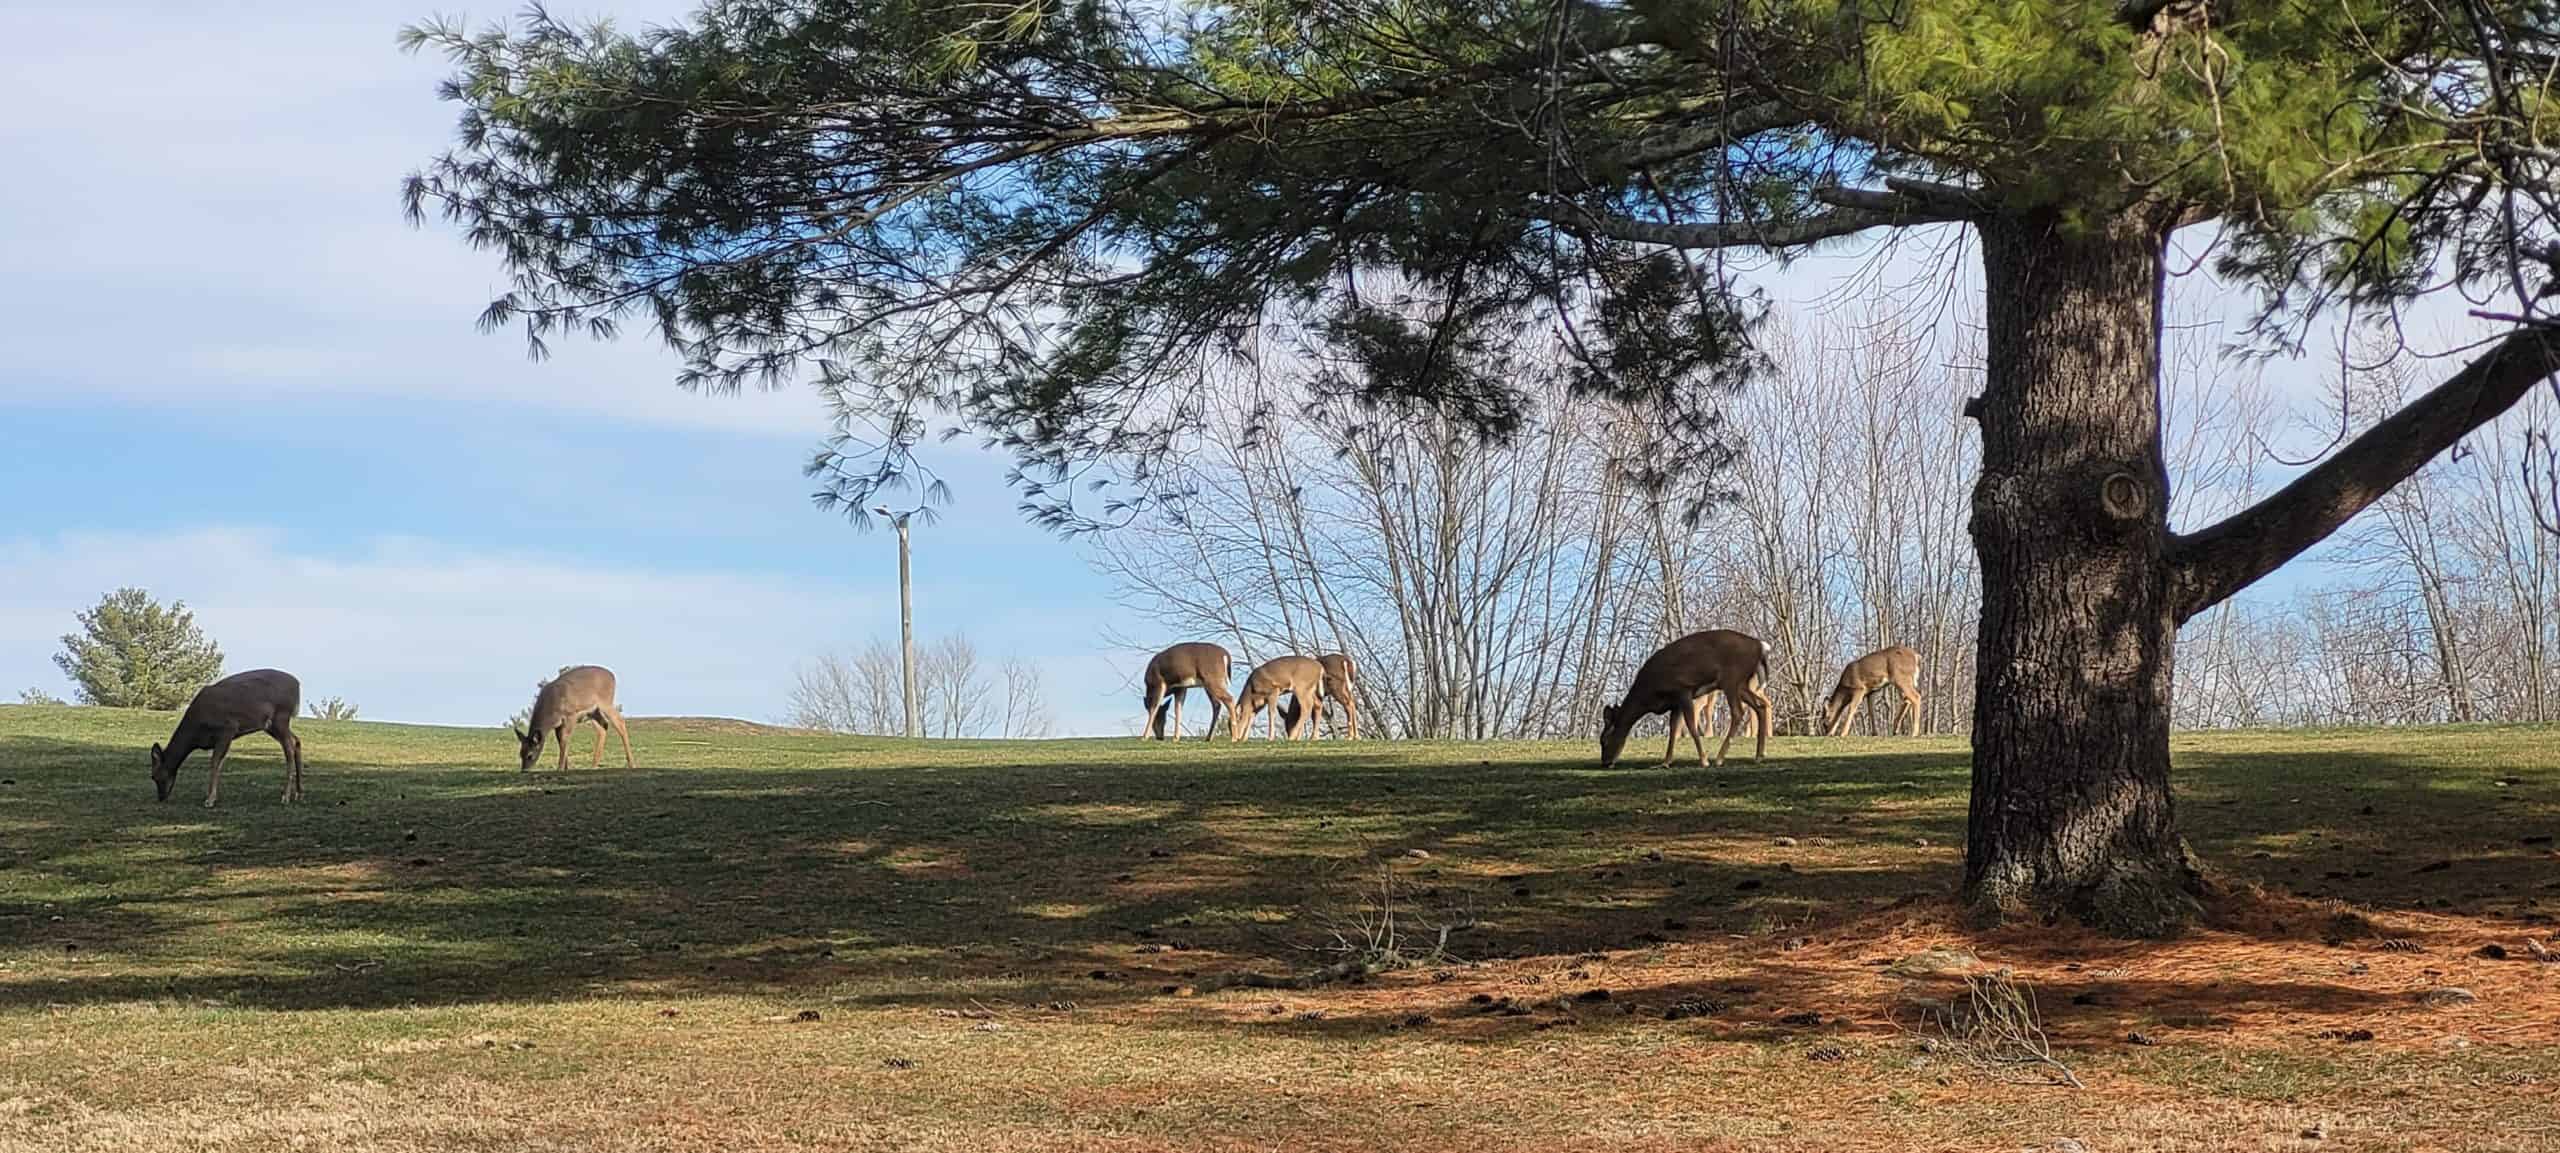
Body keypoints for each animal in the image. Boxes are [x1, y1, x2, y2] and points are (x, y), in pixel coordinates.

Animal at [149, 669, 304, 807]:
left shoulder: (227, 728)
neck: (196, 732)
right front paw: (213, 797)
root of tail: (297, 684)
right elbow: (218, 764)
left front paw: (210, 800)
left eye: (154, 776)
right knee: (296, 741)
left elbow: (215, 763)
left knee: (289, 749)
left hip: (281, 716)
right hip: (270, 726)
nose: (161, 798)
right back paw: (298, 793)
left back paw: (285, 797)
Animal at [1599, 630, 1774, 769]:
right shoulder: (1674, 703)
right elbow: (1673, 729)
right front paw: (1665, 762)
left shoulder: (1683, 690)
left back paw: (1719, 759)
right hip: (1742, 684)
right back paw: (1759, 756)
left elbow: (1690, 725)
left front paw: (1704, 761)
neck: (1648, 694)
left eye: (1604, 740)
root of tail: (1761, 646)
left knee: (1738, 712)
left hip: (1731, 679)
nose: (1605, 763)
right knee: (1760, 706)